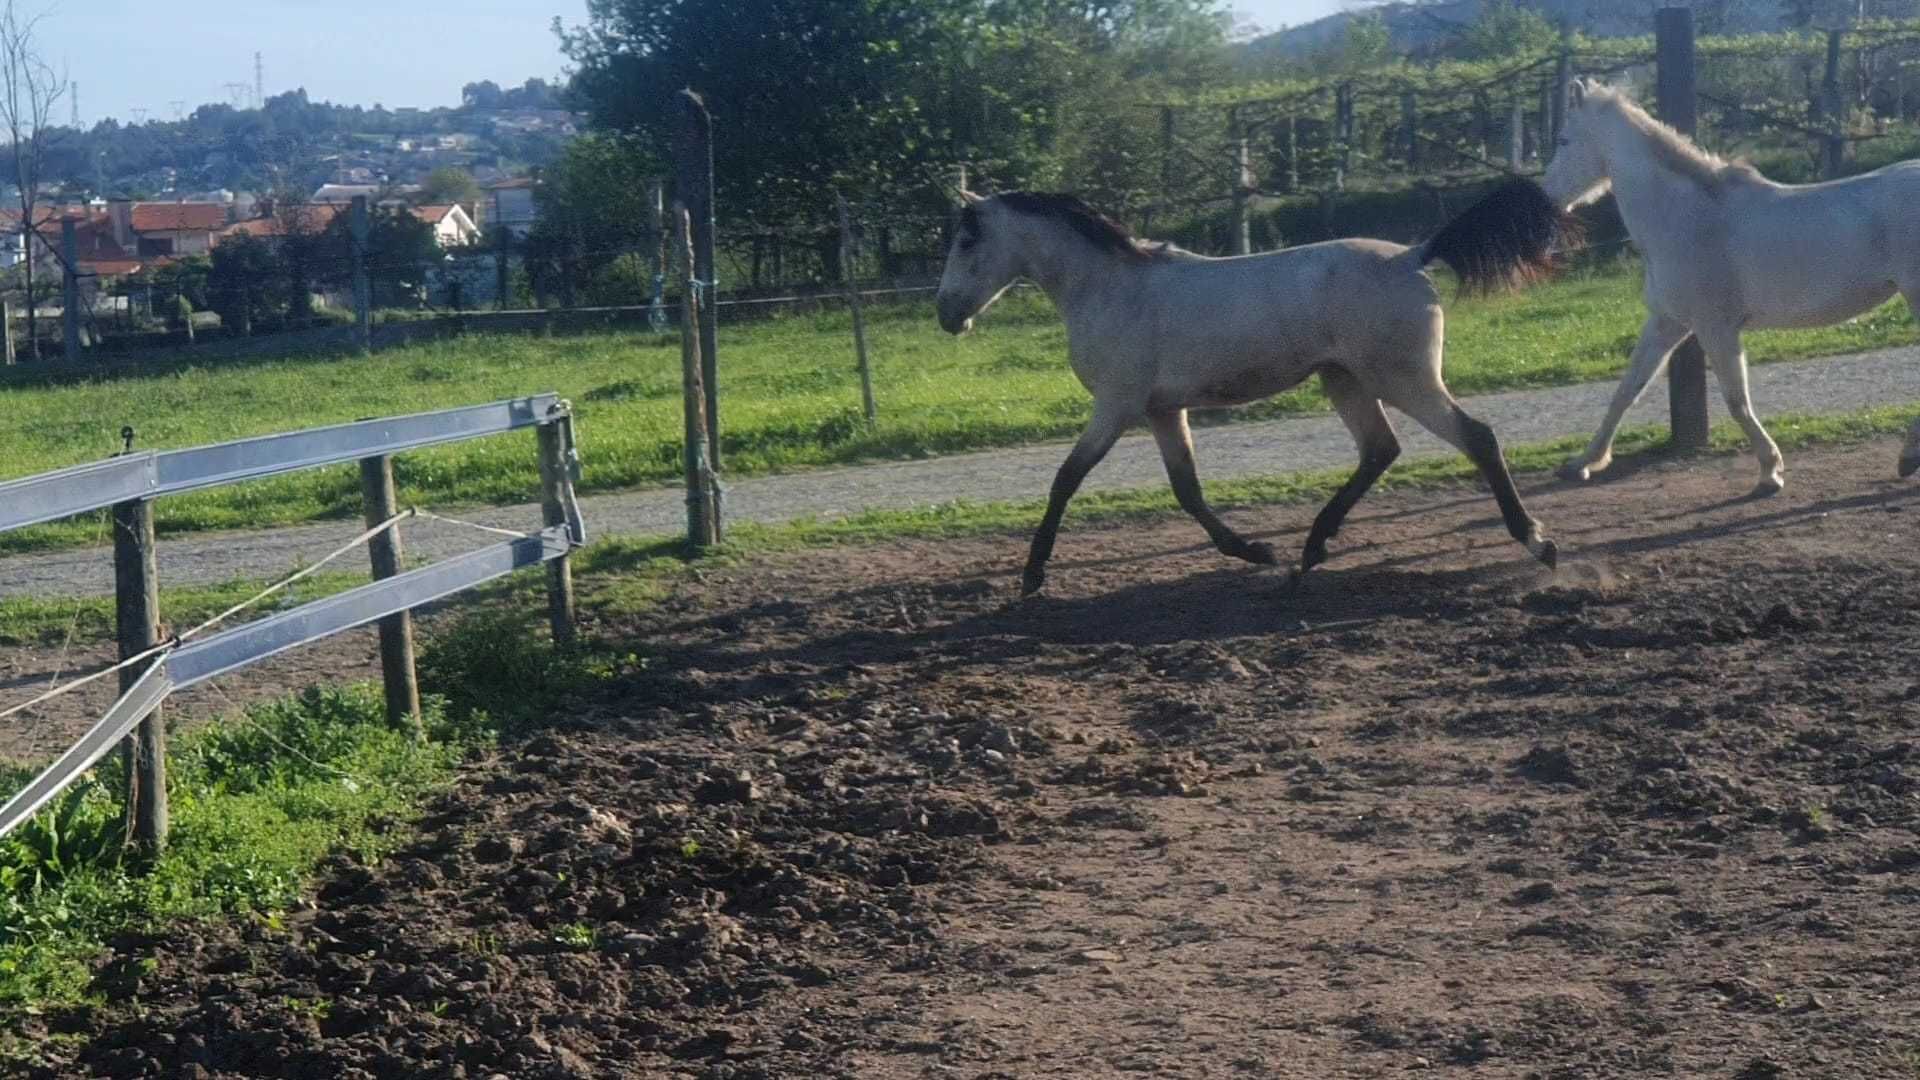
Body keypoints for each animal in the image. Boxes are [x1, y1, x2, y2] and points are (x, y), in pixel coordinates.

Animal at [933, 179, 1574, 591]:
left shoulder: (1116, 407)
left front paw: (1032, 577)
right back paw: (1309, 552)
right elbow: (1186, 490)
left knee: (1477, 437)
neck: (1110, 288)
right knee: (1380, 450)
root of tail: (1413, 255)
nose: (946, 315)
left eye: (966, 240)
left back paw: (1539, 544)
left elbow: (1066, 479)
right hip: (1345, 380)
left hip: (1404, 380)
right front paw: (1255, 551)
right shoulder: (1163, 411)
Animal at [1543, 77, 1920, 490]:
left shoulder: (1715, 328)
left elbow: (1737, 401)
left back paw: (1908, 456)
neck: (1684, 216)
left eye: (1563, 139)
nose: (1547, 198)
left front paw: (1770, 472)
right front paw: (1582, 463)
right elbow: (1626, 391)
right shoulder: (1666, 322)